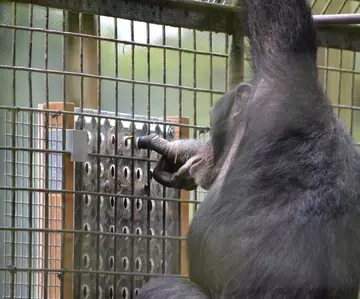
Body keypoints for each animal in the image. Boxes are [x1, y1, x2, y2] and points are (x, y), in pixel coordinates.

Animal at [134, 0, 360, 298]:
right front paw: (180, 152)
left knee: (163, 286)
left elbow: (278, 26)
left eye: (212, 119)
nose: (208, 145)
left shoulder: (280, 86)